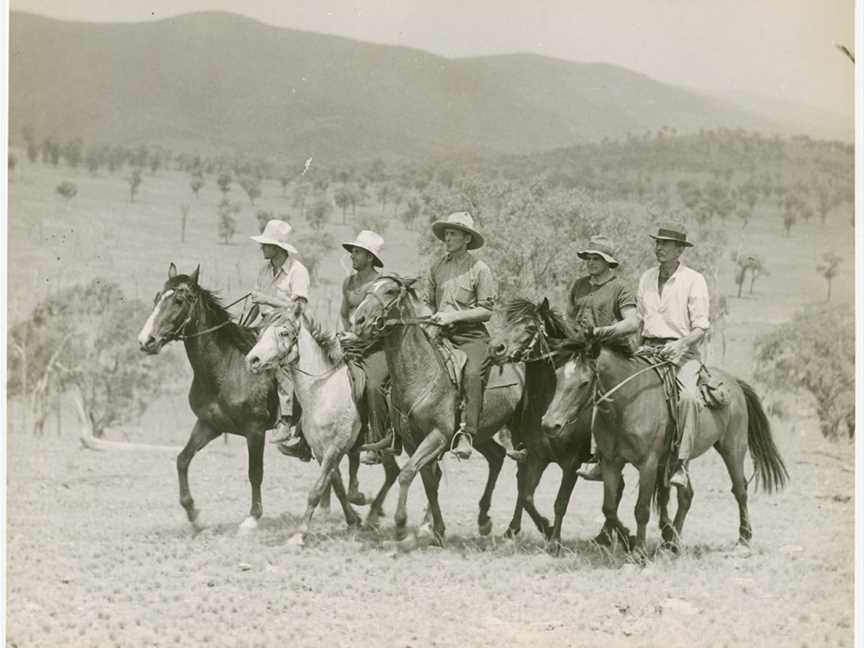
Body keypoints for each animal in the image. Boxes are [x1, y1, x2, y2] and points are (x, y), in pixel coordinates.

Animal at [137, 264, 276, 532]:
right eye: (157, 299)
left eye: (179, 300)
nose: (146, 340)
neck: (228, 367)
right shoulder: (209, 424)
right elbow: (182, 459)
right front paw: (194, 514)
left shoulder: (255, 429)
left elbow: (255, 472)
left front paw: (253, 517)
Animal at [245, 302, 404, 544]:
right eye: (260, 332)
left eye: (284, 333)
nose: (252, 360)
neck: (322, 389)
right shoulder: (322, 452)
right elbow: (336, 485)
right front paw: (353, 521)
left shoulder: (335, 449)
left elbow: (317, 490)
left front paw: (299, 534)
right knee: (395, 472)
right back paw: (372, 516)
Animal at [352, 274, 528, 548]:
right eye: (368, 289)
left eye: (390, 291)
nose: (358, 321)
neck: (420, 372)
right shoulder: (413, 441)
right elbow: (428, 481)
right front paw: (438, 530)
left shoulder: (438, 435)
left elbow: (407, 473)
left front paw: (401, 526)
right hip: (481, 434)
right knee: (497, 457)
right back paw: (484, 520)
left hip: (520, 430)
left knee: (524, 471)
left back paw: (512, 528)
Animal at [490, 296, 624, 556]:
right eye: (505, 320)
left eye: (530, 327)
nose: (495, 349)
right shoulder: (536, 458)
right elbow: (527, 496)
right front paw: (547, 528)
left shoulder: (571, 462)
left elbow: (560, 502)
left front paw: (554, 541)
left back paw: (608, 535)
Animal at [540, 332, 788, 560]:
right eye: (557, 376)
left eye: (583, 383)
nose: (550, 424)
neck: (627, 405)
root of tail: (733, 382)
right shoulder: (611, 462)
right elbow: (609, 508)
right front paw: (632, 539)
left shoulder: (648, 464)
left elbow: (641, 509)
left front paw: (638, 553)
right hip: (679, 460)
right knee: (686, 495)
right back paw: (672, 542)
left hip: (732, 448)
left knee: (740, 490)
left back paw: (743, 541)